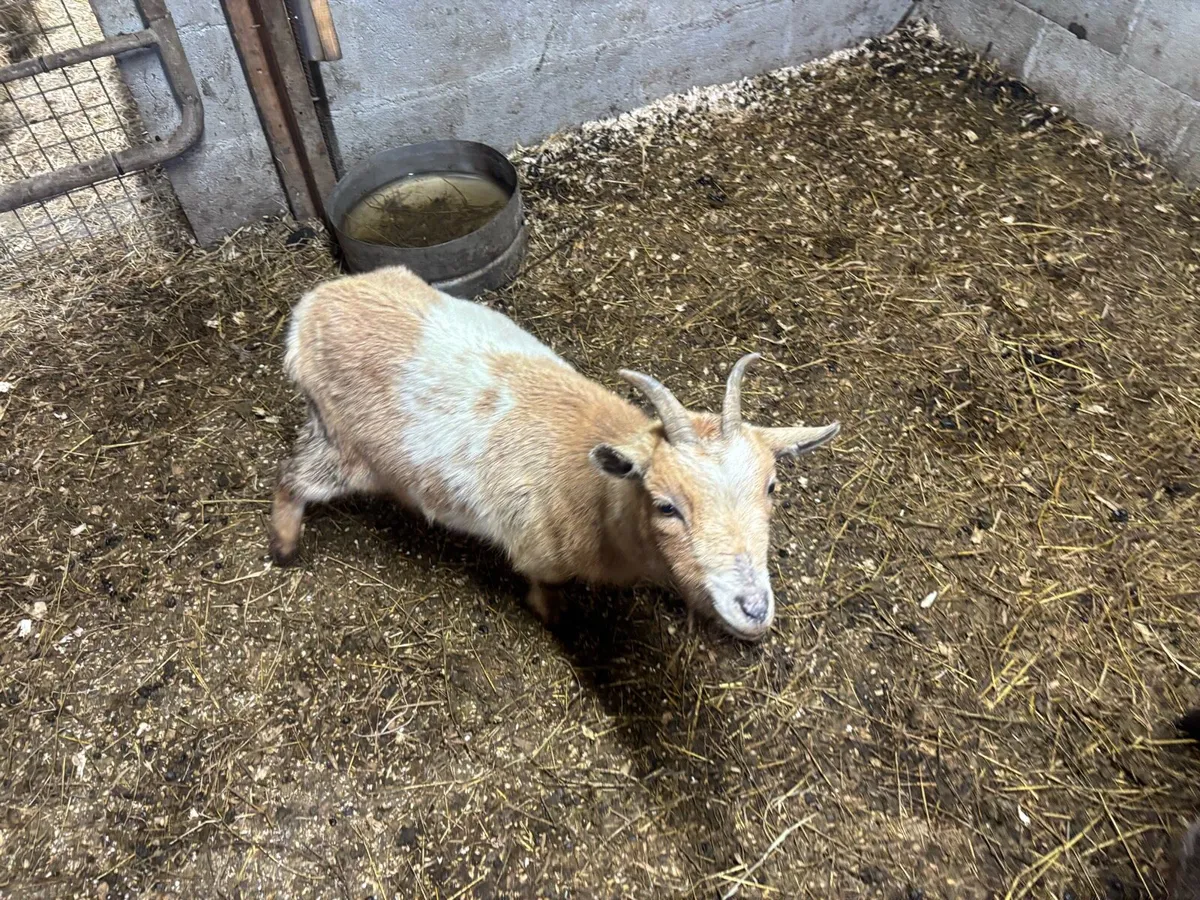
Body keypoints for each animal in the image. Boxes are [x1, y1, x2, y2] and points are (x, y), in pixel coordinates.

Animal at [268, 265, 840, 640]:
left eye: (772, 487)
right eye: (665, 505)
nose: (754, 608)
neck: (597, 494)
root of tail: (309, 310)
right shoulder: (536, 550)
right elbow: (544, 591)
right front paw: (558, 620)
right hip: (344, 444)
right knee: (290, 477)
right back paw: (284, 547)